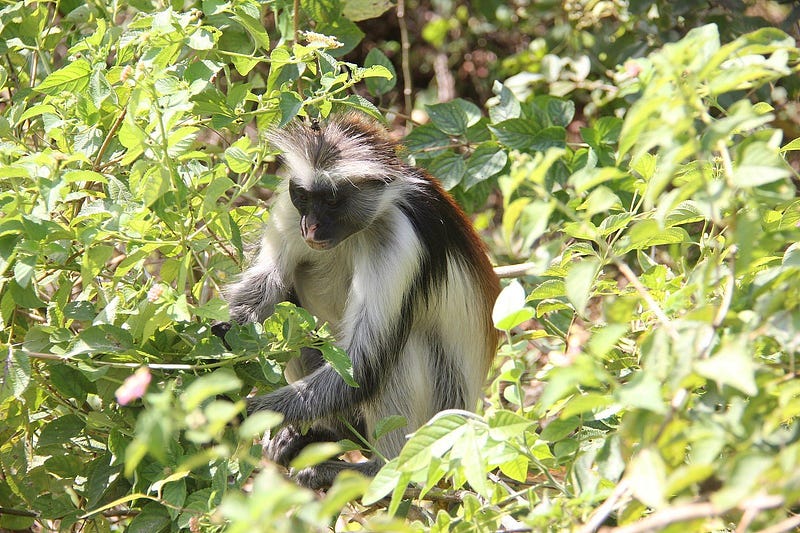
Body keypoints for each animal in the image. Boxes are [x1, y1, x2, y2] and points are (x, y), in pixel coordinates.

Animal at [218, 112, 500, 489]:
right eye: (304, 196)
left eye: (333, 200)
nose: (311, 227)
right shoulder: (288, 210)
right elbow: (266, 286)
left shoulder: (397, 235)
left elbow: (361, 366)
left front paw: (240, 413)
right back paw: (323, 433)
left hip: (441, 414)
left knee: (396, 354)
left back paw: (380, 471)